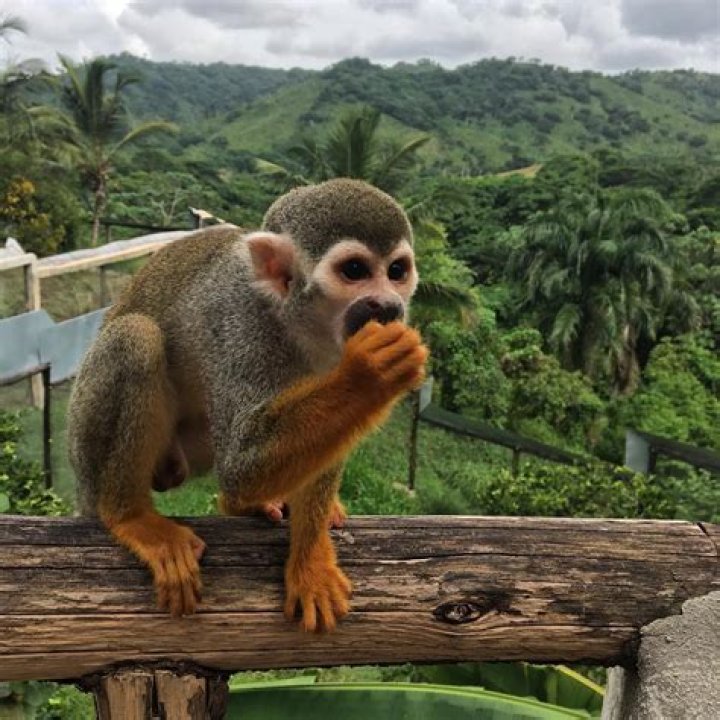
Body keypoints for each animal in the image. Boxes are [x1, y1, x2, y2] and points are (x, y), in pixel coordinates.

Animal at [67, 178, 427, 631]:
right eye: (355, 271)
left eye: (396, 271)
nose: (388, 305)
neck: (298, 321)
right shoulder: (241, 323)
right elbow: (242, 464)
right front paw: (370, 373)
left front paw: (310, 562)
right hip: (85, 446)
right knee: (136, 337)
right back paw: (130, 518)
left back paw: (244, 505)